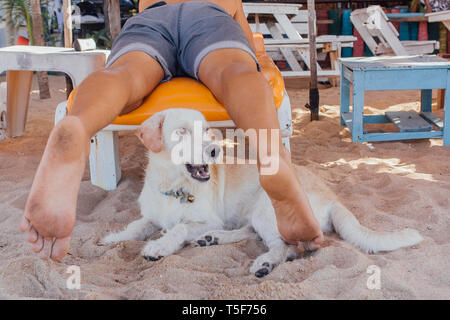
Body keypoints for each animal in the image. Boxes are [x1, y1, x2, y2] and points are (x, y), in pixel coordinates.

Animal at [100, 108, 424, 278]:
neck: (175, 184)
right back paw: (212, 240)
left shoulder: (206, 219)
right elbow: (135, 226)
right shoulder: (152, 216)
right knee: (251, 233)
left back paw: (265, 262)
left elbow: (178, 228)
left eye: (207, 131)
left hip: (267, 209)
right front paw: (112, 238)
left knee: (289, 247)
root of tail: (332, 197)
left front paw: (159, 247)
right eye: (181, 131)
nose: (215, 150)